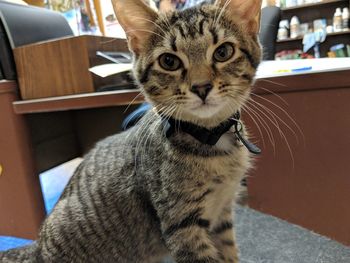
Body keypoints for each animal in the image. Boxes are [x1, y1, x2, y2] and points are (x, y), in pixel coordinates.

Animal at [1, 1, 262, 262]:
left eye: (223, 52)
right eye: (169, 61)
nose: (201, 87)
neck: (212, 139)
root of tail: (36, 248)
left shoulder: (222, 215)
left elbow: (229, 253)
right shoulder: (182, 226)